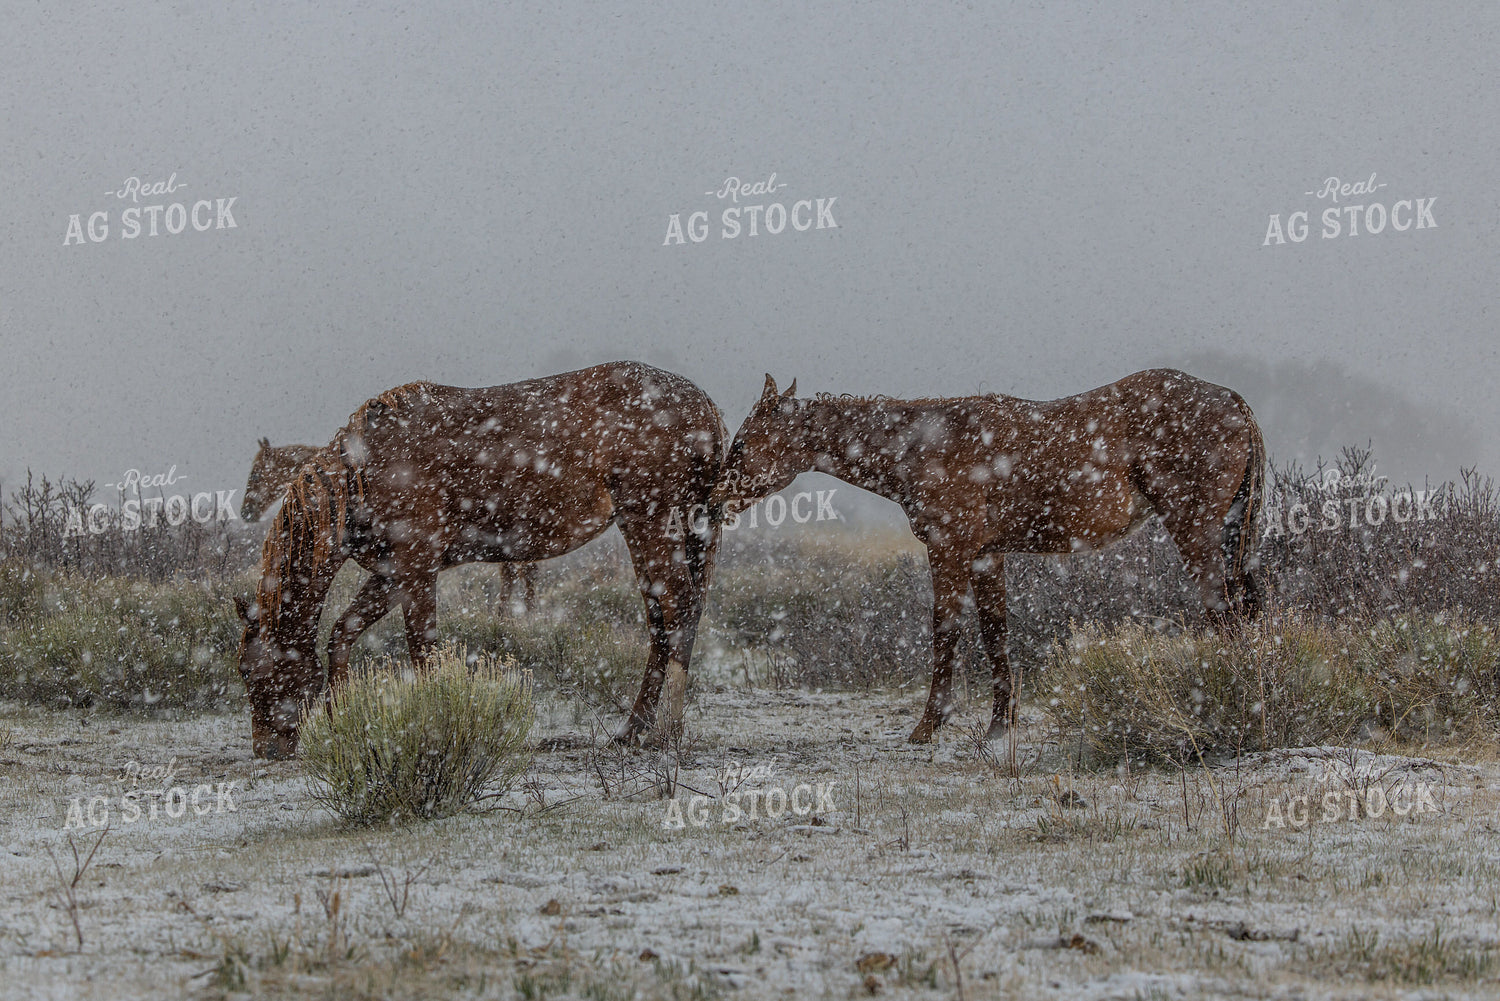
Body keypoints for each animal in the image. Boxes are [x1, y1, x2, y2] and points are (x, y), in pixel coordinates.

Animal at [712, 369, 1264, 744]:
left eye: (740, 444)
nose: (714, 502)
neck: (922, 444)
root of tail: (1233, 399)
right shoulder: (986, 557)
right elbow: (995, 632)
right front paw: (1002, 724)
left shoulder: (949, 550)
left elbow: (946, 630)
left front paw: (928, 725)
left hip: (1195, 533)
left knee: (1223, 611)